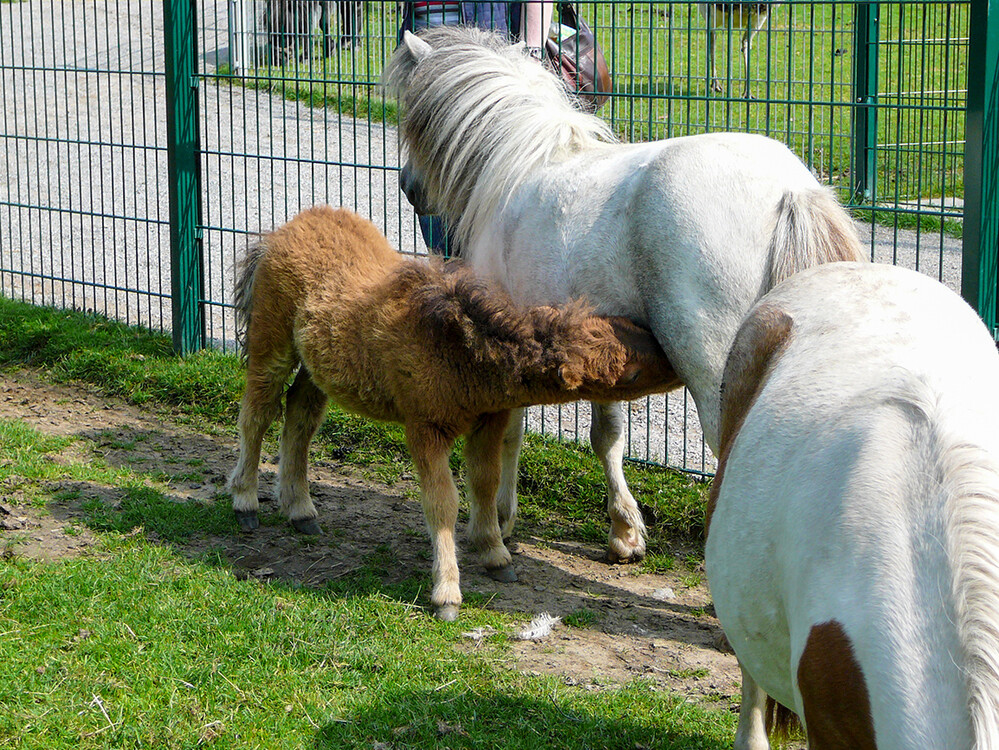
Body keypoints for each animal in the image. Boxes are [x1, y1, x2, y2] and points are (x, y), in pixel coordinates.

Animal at [228, 207, 680, 624]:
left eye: (633, 328)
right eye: (629, 372)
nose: (674, 360)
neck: (459, 349)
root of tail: (275, 235)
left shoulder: (487, 422)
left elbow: (484, 482)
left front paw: (495, 554)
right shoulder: (424, 428)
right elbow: (442, 502)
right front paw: (447, 592)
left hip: (317, 367)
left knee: (300, 415)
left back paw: (300, 509)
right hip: (272, 344)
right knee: (257, 414)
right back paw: (245, 502)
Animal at [378, 27, 864, 564]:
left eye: (411, 118)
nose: (408, 186)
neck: (517, 165)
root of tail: (788, 192)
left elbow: (511, 431)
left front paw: (500, 521)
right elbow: (606, 437)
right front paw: (624, 531)